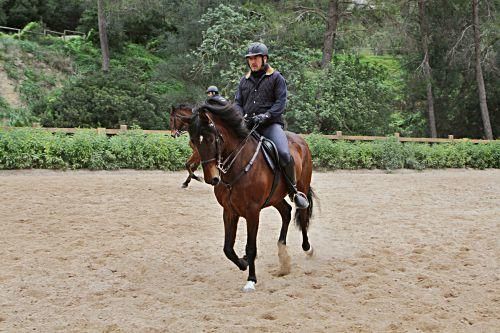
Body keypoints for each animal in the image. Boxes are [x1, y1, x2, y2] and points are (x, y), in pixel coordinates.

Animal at [188, 101, 316, 290]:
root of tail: (301, 141)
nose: (212, 178)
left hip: (301, 186)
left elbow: (251, 247)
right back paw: (282, 250)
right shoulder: (229, 211)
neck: (237, 166)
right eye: (194, 141)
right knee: (286, 211)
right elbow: (228, 248)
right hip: (275, 197)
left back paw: (307, 247)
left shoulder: (253, 212)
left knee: (303, 212)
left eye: (211, 139)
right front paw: (243, 262)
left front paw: (251, 279)